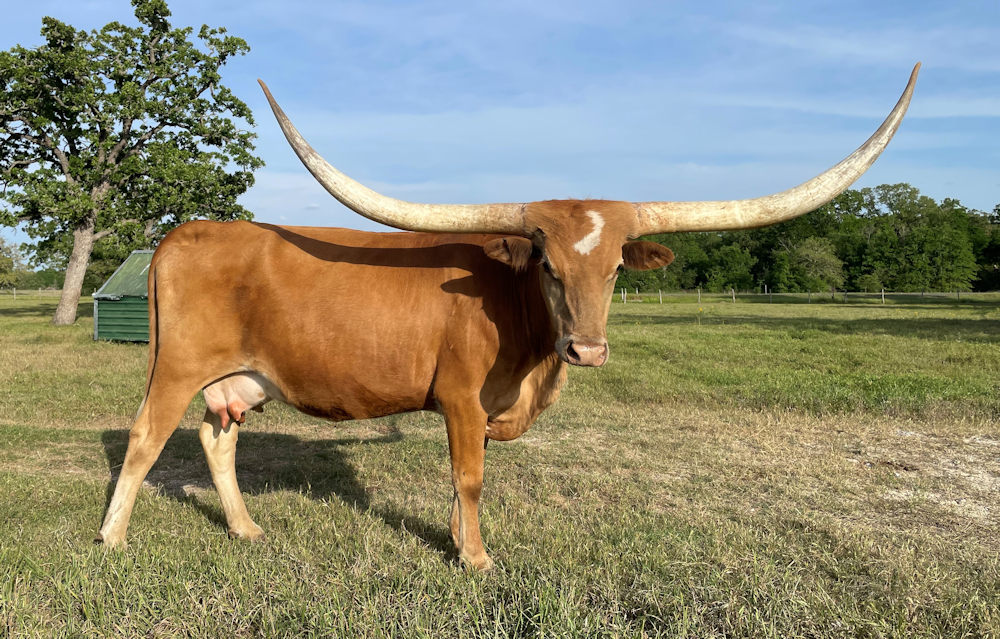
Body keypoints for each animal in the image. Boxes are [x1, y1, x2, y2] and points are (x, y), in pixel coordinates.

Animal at [97, 64, 919, 570]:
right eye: (548, 264)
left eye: (615, 269)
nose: (588, 350)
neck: (530, 359)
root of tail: (185, 232)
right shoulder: (461, 398)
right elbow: (469, 477)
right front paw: (477, 557)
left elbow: (461, 481)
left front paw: (461, 543)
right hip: (176, 366)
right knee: (144, 440)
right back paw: (111, 538)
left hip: (243, 379)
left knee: (217, 439)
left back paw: (245, 527)